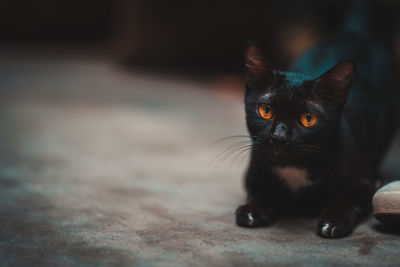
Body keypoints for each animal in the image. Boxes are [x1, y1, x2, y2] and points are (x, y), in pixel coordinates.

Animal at [236, 0, 398, 239]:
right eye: (266, 110)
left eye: (308, 118)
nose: (279, 136)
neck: (294, 168)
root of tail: (352, 32)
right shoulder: (253, 172)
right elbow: (258, 190)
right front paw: (252, 209)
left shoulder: (361, 183)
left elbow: (348, 197)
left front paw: (333, 220)